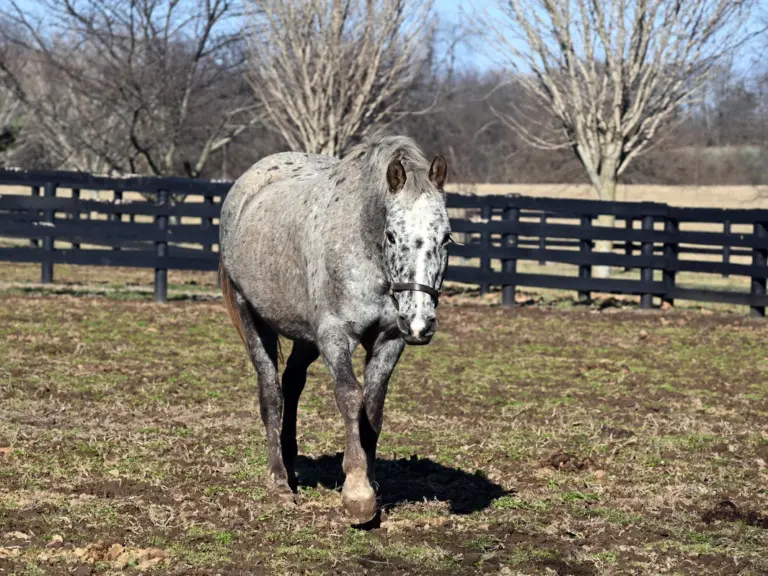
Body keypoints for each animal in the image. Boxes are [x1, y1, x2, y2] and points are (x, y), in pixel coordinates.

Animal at [218, 134, 451, 523]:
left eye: (446, 238)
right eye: (391, 235)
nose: (419, 323)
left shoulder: (390, 339)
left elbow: (373, 405)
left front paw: (371, 480)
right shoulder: (335, 336)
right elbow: (350, 397)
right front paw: (357, 491)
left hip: (305, 337)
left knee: (292, 382)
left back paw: (291, 463)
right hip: (250, 315)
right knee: (271, 391)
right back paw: (279, 480)